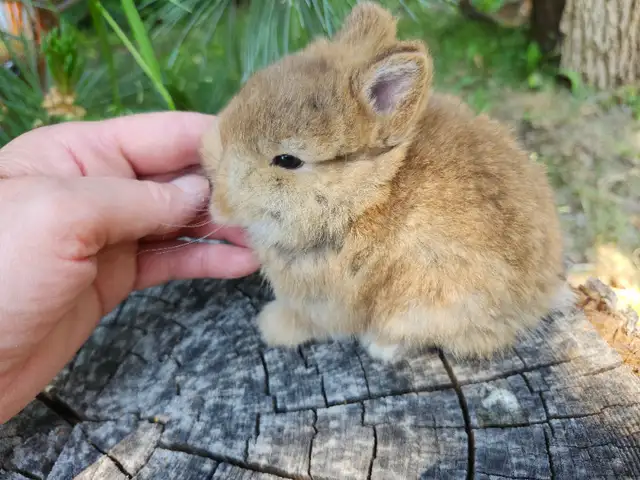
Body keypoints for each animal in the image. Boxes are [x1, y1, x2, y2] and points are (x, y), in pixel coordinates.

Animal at [200, 1, 573, 362]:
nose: (218, 203)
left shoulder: (327, 303)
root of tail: (540, 296)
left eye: (288, 160)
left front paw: (271, 327)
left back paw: (381, 346)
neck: (365, 197)